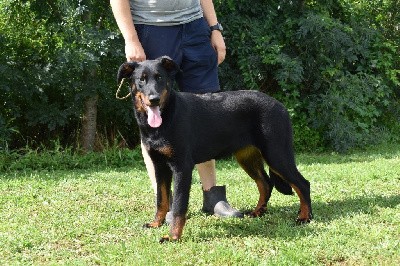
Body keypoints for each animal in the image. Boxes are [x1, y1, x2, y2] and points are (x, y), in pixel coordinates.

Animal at [117, 56, 310, 243]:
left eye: (160, 78)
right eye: (141, 80)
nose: (154, 99)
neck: (165, 117)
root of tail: (281, 106)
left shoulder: (182, 168)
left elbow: (179, 205)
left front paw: (173, 236)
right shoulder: (160, 166)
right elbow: (161, 199)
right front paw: (156, 223)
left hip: (277, 154)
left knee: (302, 184)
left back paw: (304, 217)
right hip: (247, 157)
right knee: (265, 183)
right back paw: (258, 212)